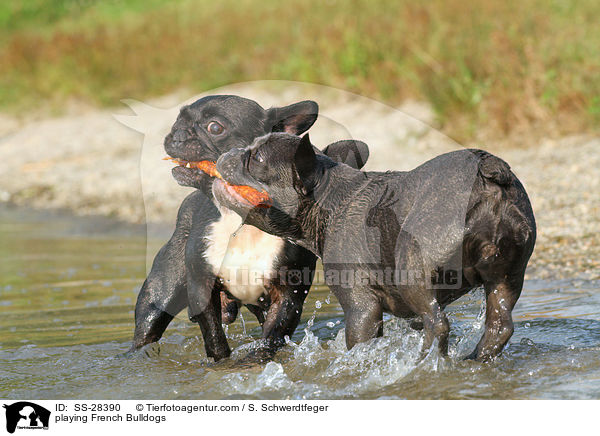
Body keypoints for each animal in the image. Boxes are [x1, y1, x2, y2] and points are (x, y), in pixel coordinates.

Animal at [129, 96, 368, 362]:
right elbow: (214, 337)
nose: (177, 133)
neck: (244, 223)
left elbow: (273, 335)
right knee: (148, 324)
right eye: (178, 119)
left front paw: (257, 358)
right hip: (162, 291)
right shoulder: (202, 289)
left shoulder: (287, 297)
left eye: (215, 127)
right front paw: (222, 362)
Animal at [213, 133, 536, 362]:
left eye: (256, 158)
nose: (229, 151)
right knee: (499, 325)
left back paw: (422, 363)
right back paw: (474, 360)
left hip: (411, 268)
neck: (328, 198)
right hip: (508, 276)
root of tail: (488, 172)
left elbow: (359, 342)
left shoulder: (360, 306)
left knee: (438, 324)